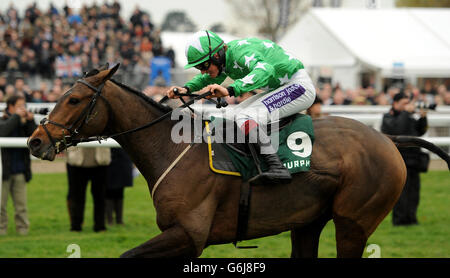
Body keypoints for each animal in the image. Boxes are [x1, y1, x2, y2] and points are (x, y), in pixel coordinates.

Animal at [27, 65, 446, 258]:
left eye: (74, 99)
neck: (172, 148)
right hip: (307, 223)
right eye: (62, 95)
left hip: (354, 223)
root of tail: (387, 138)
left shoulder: (189, 234)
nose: (35, 141)